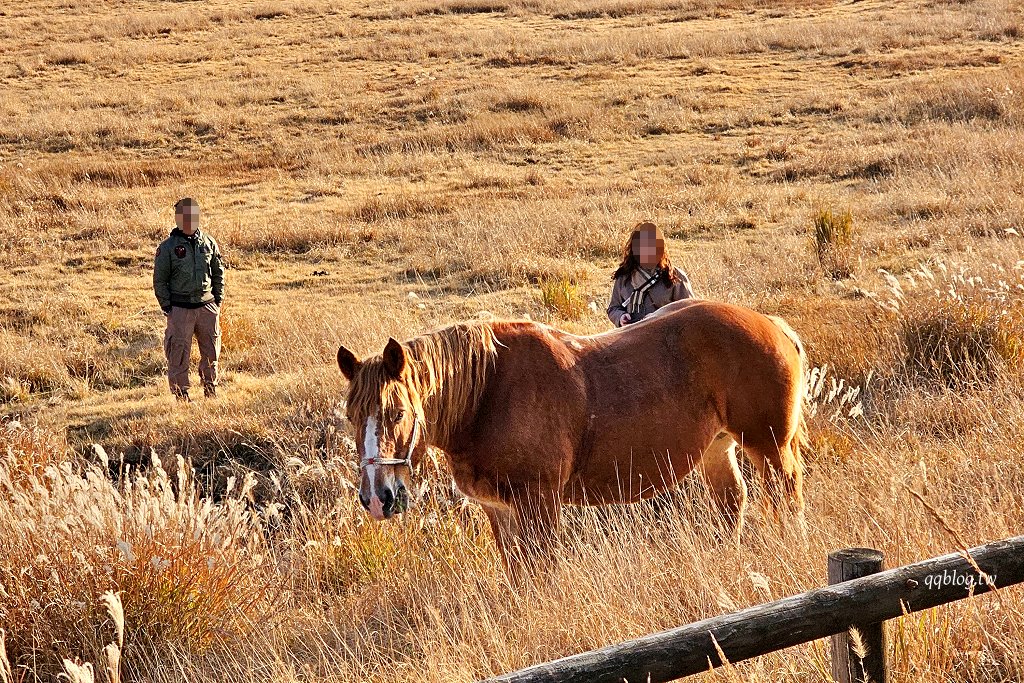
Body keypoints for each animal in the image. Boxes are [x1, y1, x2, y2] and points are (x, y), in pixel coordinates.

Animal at [335, 299, 806, 565]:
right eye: (352, 417)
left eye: (397, 413)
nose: (377, 498)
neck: (488, 394)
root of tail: (772, 324)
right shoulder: (499, 512)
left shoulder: (539, 504)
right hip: (717, 449)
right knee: (733, 503)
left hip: (770, 447)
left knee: (786, 497)